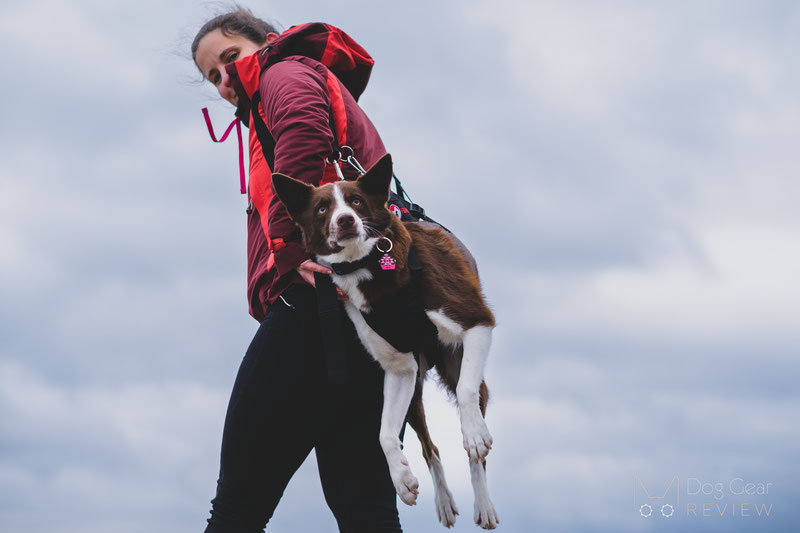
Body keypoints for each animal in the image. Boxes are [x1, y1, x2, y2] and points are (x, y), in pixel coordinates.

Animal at [276, 154, 500, 528]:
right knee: (430, 447)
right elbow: (383, 434)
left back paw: (483, 502)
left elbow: (466, 394)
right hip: (415, 389)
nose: (345, 221)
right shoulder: (399, 370)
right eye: (322, 208)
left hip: (456, 362)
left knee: (474, 436)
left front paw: (474, 435)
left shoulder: (476, 320)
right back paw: (443, 501)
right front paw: (402, 480)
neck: (368, 265)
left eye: (355, 202)